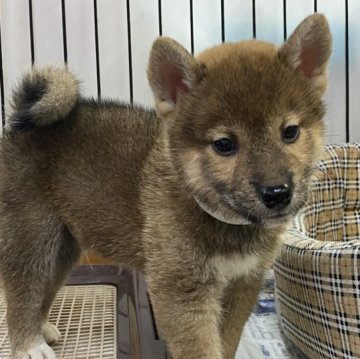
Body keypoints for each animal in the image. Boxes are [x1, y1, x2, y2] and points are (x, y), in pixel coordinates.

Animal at [0, 13, 332, 359]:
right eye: (224, 145)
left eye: (290, 132)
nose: (277, 193)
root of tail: (20, 126)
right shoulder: (181, 290)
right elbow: (201, 349)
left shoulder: (242, 283)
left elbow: (226, 341)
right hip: (31, 238)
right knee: (21, 294)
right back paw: (28, 345)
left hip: (62, 248)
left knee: (45, 288)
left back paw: (42, 329)